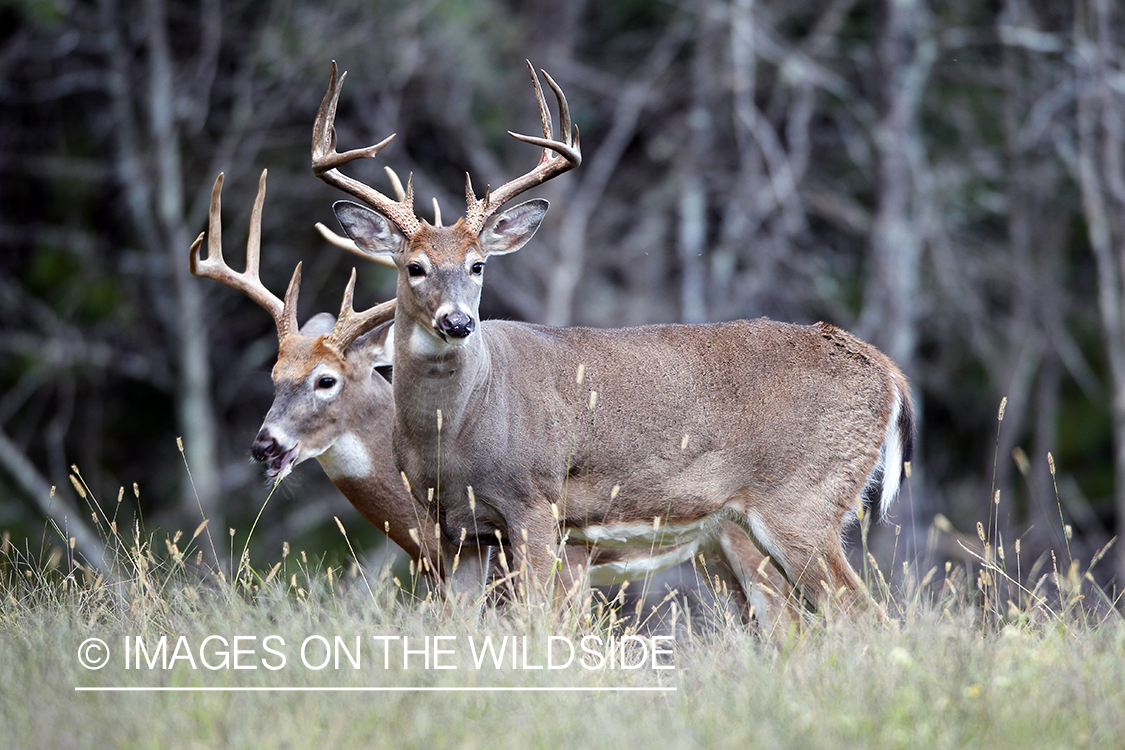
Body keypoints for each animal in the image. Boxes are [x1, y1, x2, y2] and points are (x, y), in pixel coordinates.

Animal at [315, 61, 913, 620]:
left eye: (478, 265)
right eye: (414, 267)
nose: (459, 323)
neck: (454, 434)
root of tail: (887, 372)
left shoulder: (536, 503)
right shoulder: (452, 530)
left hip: (803, 500)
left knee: (861, 615)